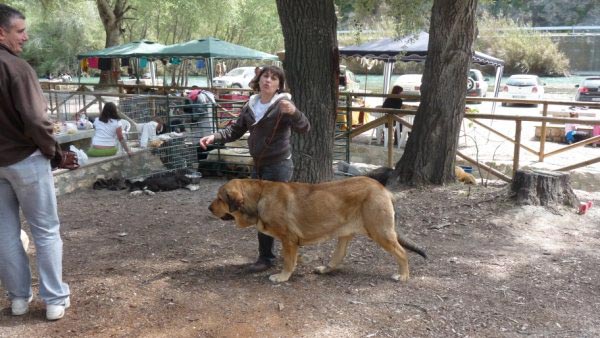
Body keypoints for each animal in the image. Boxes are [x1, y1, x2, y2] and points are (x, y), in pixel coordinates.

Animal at [210, 177, 426, 282]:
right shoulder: (291, 242)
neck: (260, 197)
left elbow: (288, 261)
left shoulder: (288, 239)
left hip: (380, 232)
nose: (209, 208)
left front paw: (282, 277)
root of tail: (383, 189)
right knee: (338, 257)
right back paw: (325, 269)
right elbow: (292, 258)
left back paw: (403, 276)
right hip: (345, 233)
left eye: (220, 198)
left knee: (402, 253)